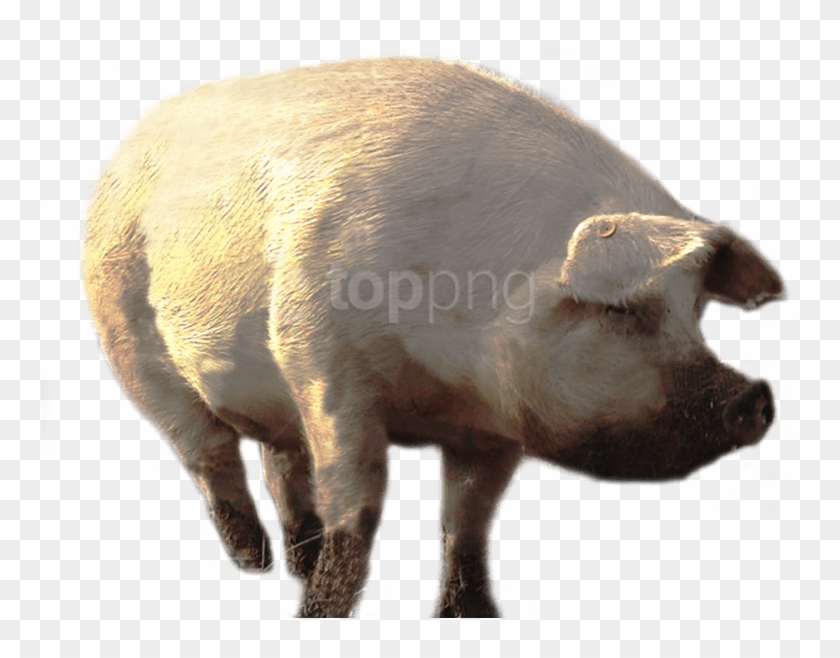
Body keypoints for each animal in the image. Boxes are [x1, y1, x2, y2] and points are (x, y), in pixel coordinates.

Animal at [82, 57, 784, 618]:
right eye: (619, 311)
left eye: (695, 309)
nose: (755, 397)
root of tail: (128, 145)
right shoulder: (322, 360)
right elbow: (358, 499)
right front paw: (320, 616)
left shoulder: (491, 429)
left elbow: (468, 521)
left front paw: (470, 617)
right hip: (127, 338)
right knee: (208, 455)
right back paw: (254, 564)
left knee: (280, 461)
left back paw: (296, 562)